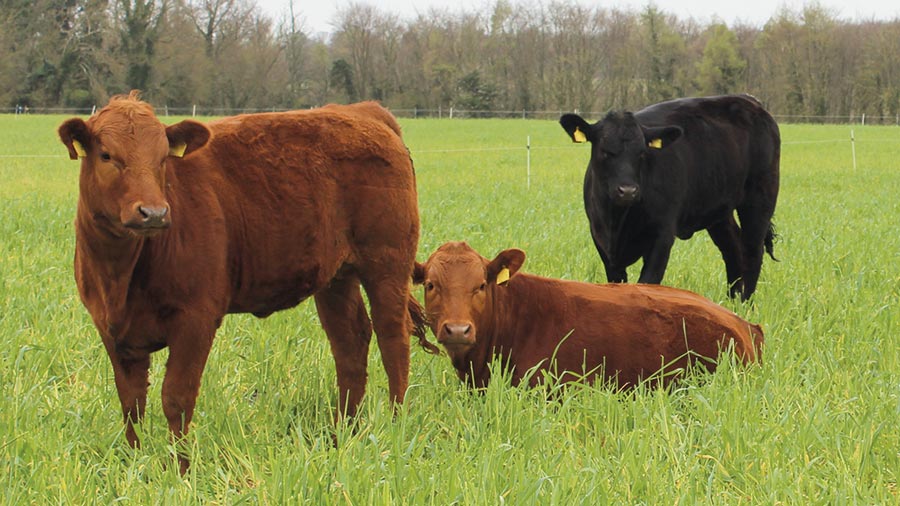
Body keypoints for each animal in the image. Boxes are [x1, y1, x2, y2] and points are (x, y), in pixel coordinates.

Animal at [58, 91, 425, 473]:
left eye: (162, 159)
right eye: (106, 155)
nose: (154, 213)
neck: (119, 275)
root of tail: (362, 111)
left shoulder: (196, 319)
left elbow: (176, 398)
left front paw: (181, 469)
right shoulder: (111, 330)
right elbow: (131, 403)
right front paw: (134, 463)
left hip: (387, 263)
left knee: (392, 338)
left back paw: (396, 424)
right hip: (337, 278)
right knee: (350, 343)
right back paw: (343, 432)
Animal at [559, 94, 780, 301]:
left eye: (642, 152)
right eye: (605, 151)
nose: (628, 190)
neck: (617, 221)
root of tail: (749, 101)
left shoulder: (662, 235)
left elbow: (648, 282)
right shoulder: (601, 239)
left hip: (760, 197)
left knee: (752, 250)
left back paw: (745, 305)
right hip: (719, 209)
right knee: (733, 248)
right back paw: (731, 302)